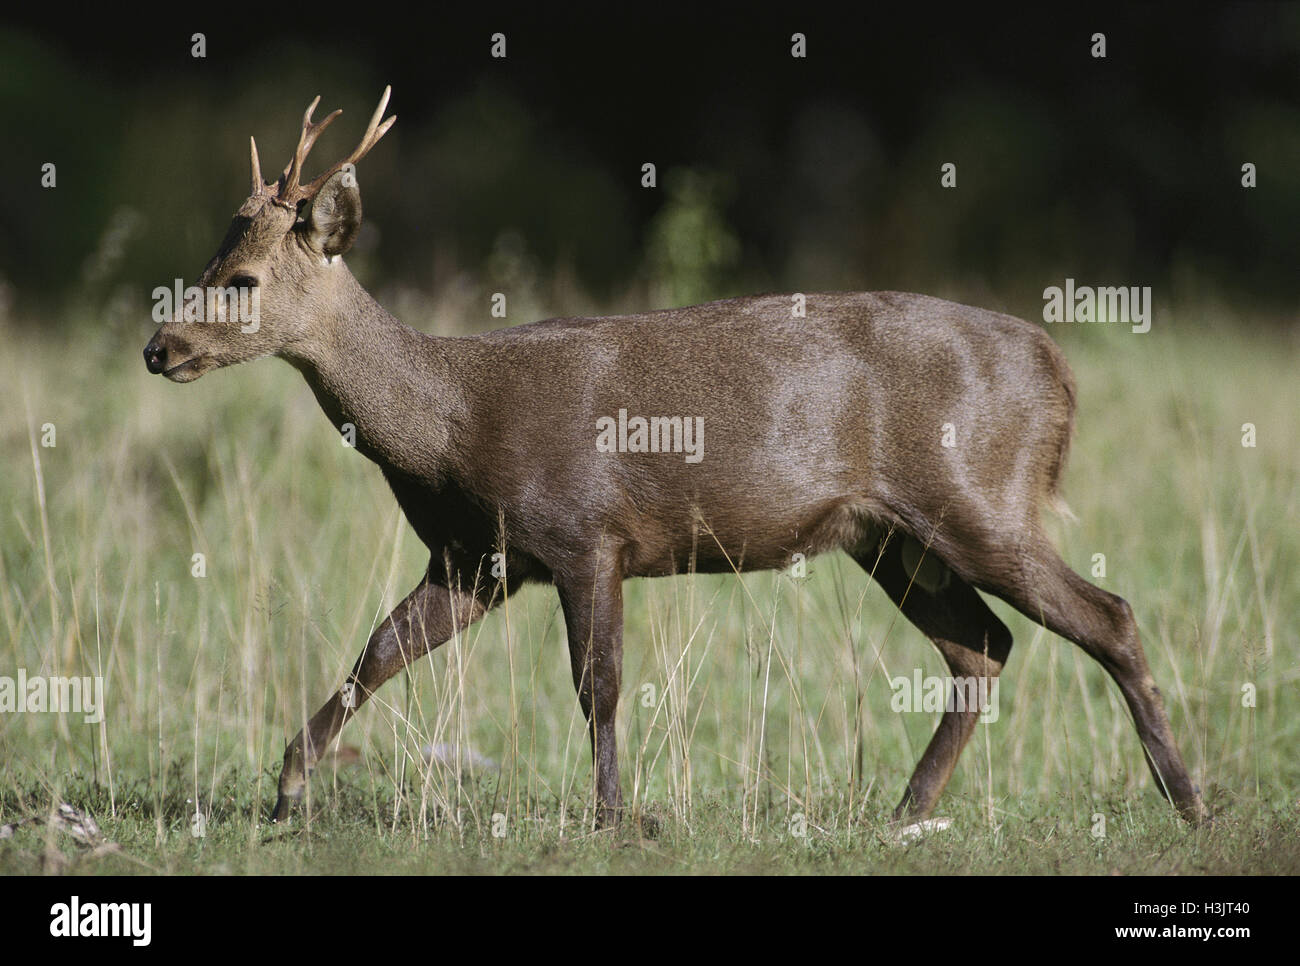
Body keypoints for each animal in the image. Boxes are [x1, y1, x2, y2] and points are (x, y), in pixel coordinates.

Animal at [142, 87, 1206, 837]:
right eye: (209, 260)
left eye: (242, 281)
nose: (158, 347)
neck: (448, 430)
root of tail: (1059, 371)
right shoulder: (476, 560)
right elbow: (376, 653)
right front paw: (287, 789)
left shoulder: (584, 533)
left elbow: (598, 685)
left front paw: (618, 817)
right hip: (887, 536)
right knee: (982, 645)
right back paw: (903, 813)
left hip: (979, 494)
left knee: (1106, 615)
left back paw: (1188, 799)